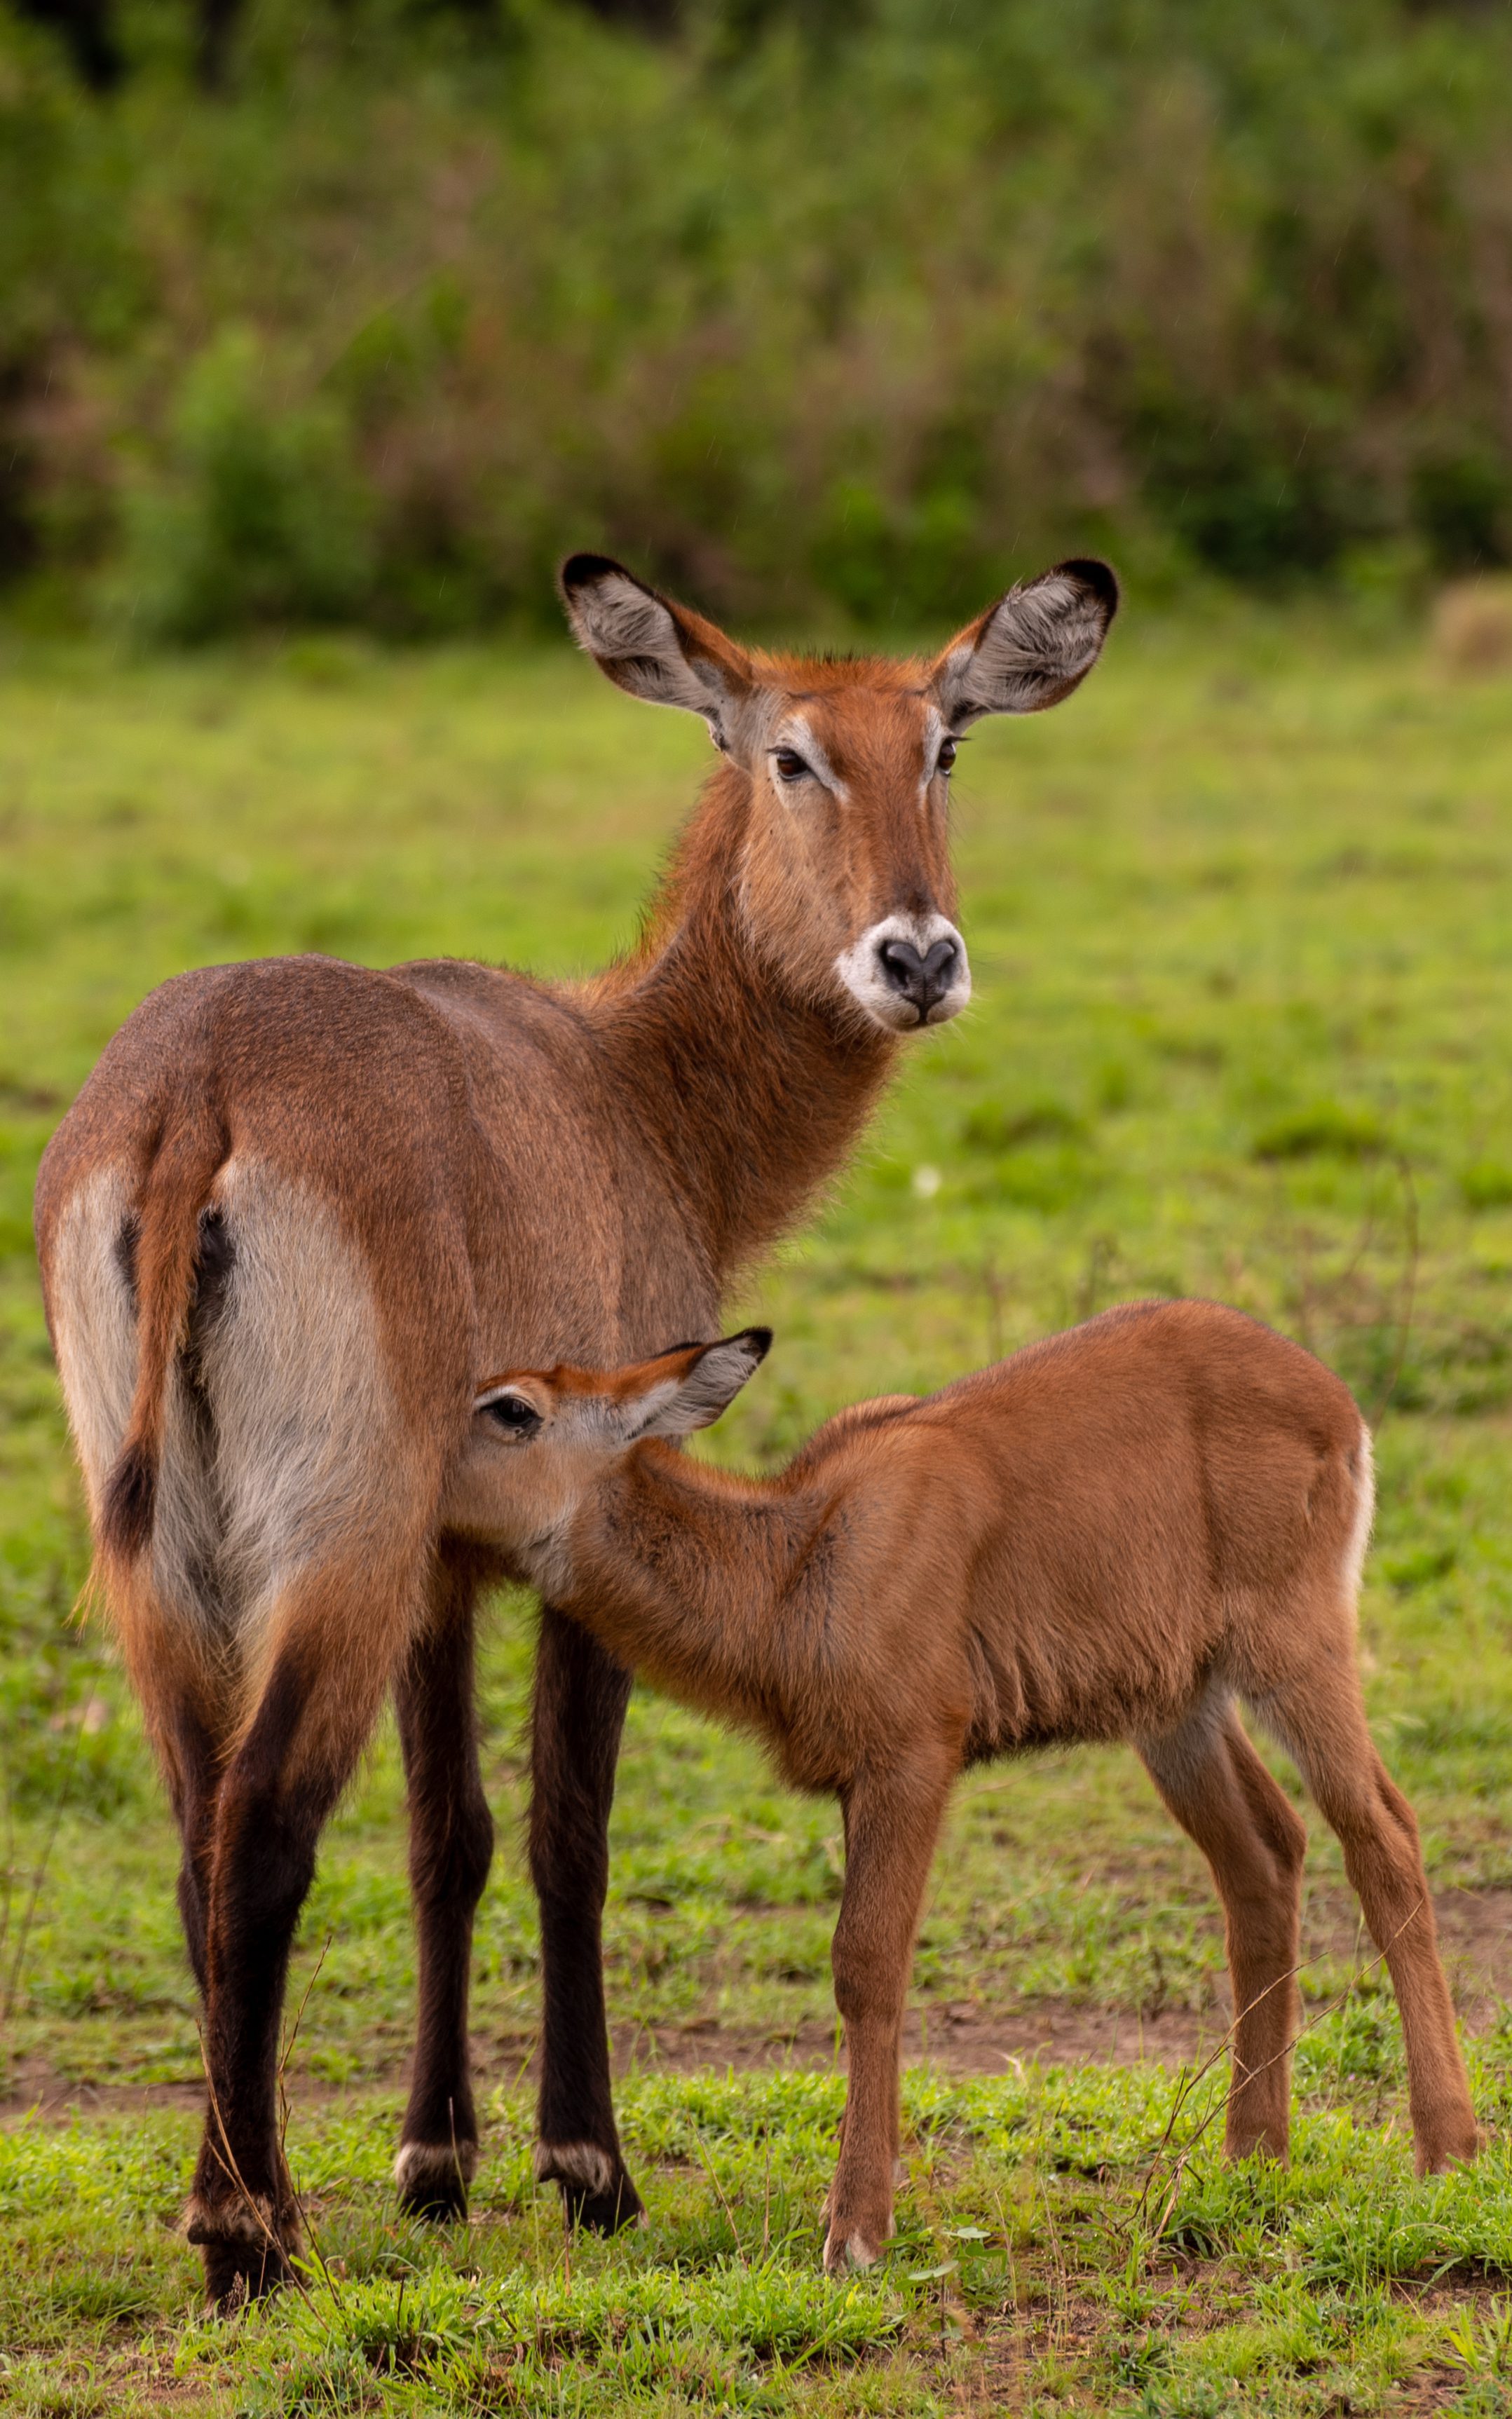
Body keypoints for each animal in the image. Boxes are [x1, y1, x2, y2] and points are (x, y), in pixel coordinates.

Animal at [447, 1306, 1471, 2264]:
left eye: (512, 1408)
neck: (797, 1559)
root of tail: (1330, 1395)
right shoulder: (861, 1782)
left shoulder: (910, 1760)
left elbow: (866, 1963)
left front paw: (857, 2229)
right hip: (1180, 1706)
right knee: (1265, 1855)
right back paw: (1252, 2157)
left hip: (1294, 1650)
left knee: (1382, 1831)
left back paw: (1447, 2149)